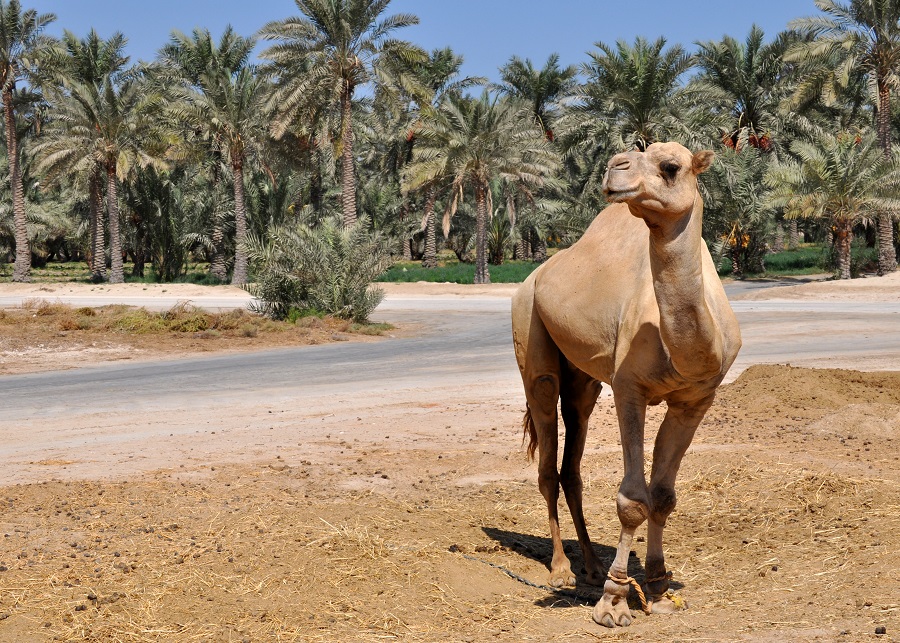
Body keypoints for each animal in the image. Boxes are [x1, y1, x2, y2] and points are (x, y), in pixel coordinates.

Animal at [510, 142, 740, 628]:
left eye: (671, 167)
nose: (615, 168)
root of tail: (533, 277)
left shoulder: (696, 399)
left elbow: (663, 496)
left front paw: (657, 587)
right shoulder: (629, 390)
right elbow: (633, 499)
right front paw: (614, 602)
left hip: (584, 380)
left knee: (572, 458)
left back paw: (592, 566)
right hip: (531, 334)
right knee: (546, 452)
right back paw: (561, 568)